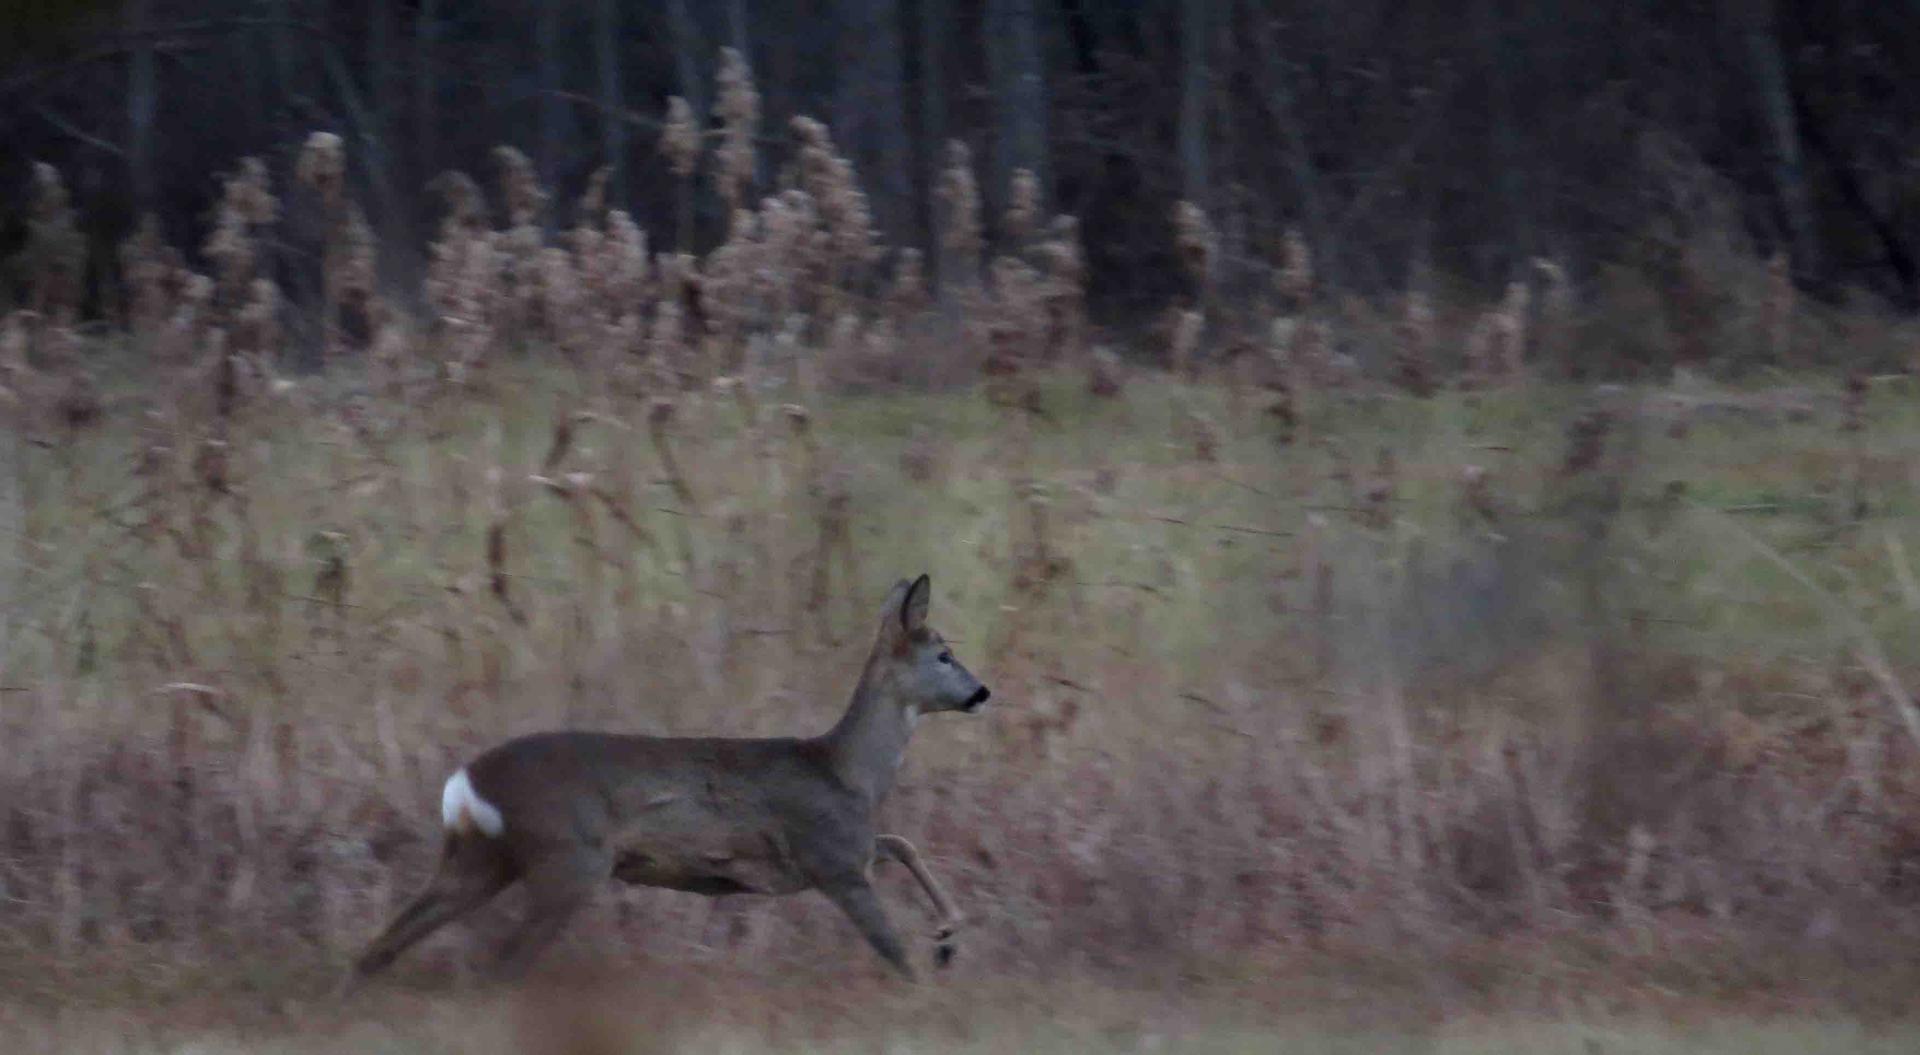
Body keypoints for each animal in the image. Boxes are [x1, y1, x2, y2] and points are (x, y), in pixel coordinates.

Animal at [343, 572, 990, 983]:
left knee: (383, 945)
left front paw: (950, 935)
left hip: (481, 858)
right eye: (944, 655)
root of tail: (465, 784)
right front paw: (932, 973)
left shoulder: (844, 848)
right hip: (570, 860)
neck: (846, 772)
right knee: (499, 964)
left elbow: (900, 842)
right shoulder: (831, 858)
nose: (982, 692)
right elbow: (892, 948)